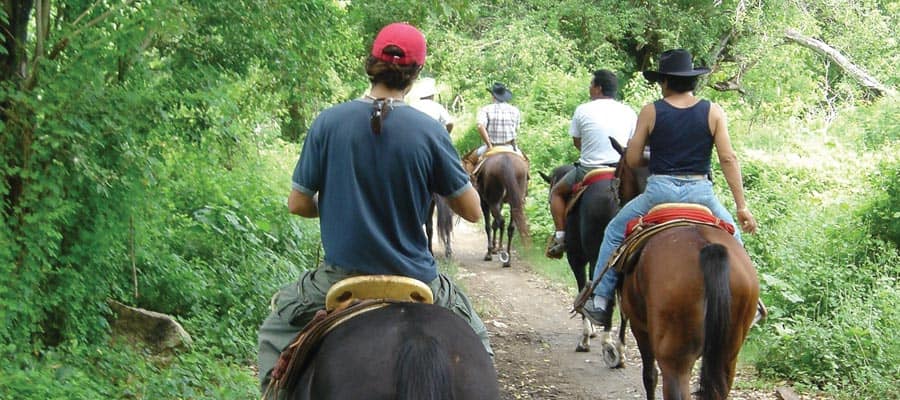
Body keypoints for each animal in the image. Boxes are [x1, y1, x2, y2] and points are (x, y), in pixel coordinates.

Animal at [600, 139, 756, 398]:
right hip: (728, 353)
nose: (617, 200)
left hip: (674, 356)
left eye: (618, 171)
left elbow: (649, 376)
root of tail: (708, 248)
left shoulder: (640, 327)